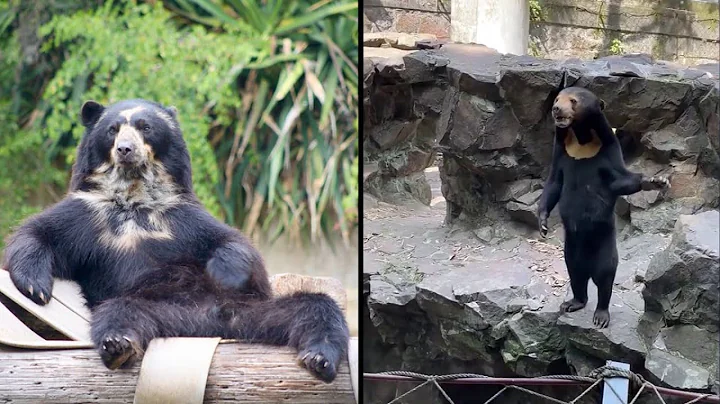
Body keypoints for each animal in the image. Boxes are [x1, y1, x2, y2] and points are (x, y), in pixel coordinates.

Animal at [2, 98, 349, 382]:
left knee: (316, 309)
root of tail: (207, 326)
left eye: (145, 127)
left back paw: (319, 357)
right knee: (118, 314)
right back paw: (118, 346)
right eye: (113, 129)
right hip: (149, 307)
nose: (125, 149)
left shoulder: (180, 215)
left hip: (250, 310)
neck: (134, 196)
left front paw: (225, 272)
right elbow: (42, 233)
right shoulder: (89, 213)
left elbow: (231, 243)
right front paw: (35, 287)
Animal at [537, 86, 670, 328]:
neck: (581, 139)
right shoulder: (561, 150)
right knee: (575, 272)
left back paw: (600, 315)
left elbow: (619, 179)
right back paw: (573, 302)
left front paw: (657, 181)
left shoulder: (607, 149)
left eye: (573, 101)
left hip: (605, 243)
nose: (556, 109)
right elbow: (555, 182)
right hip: (571, 249)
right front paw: (542, 224)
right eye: (557, 98)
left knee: (605, 276)